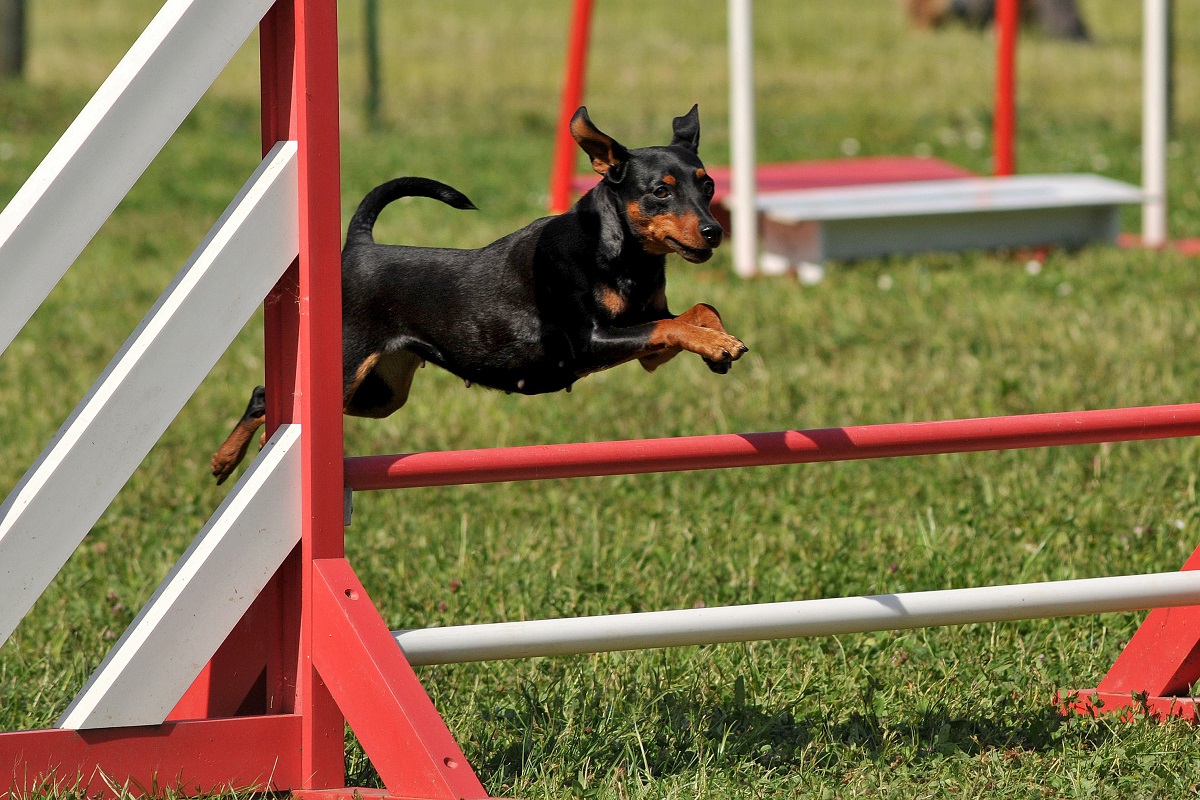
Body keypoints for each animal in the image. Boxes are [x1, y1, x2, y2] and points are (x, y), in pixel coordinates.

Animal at [211, 104, 744, 482]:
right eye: (661, 191)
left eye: (708, 185)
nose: (715, 231)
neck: (621, 253)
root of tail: (359, 246)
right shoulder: (589, 342)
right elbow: (671, 324)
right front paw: (718, 344)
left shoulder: (645, 346)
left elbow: (694, 312)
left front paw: (720, 342)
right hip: (345, 370)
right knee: (265, 396)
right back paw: (225, 458)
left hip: (380, 393)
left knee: (270, 397)